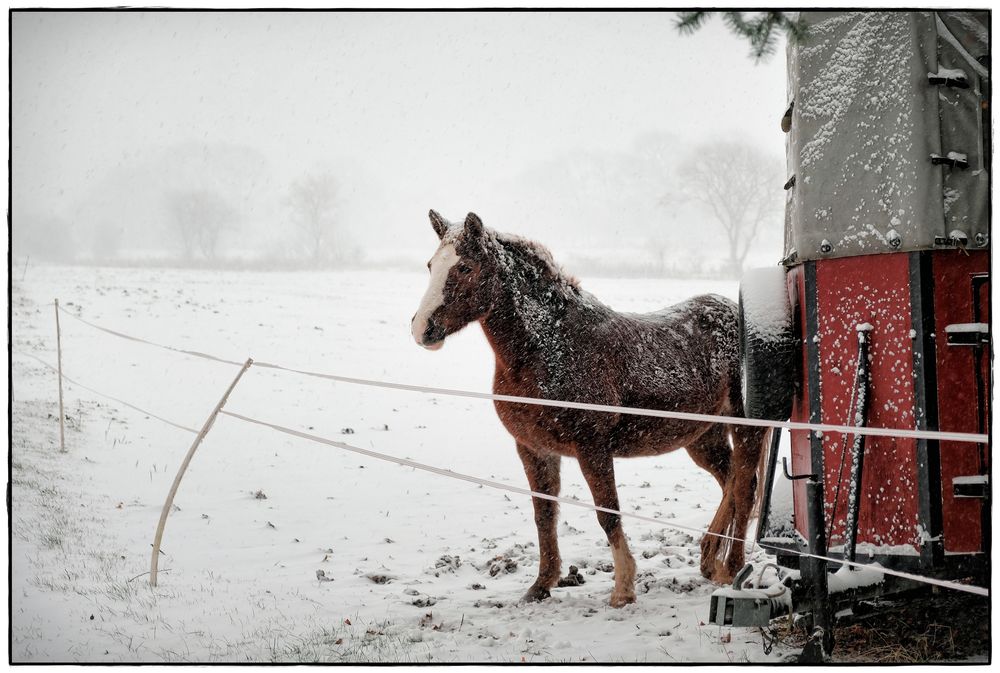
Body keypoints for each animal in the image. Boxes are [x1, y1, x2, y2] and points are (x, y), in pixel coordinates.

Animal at [410, 211, 768, 608]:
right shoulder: (533, 448)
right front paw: (541, 585)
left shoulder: (591, 448)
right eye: (431, 265)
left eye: (466, 267)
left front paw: (623, 588)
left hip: (745, 427)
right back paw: (709, 560)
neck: (551, 346)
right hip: (702, 437)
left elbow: (607, 514)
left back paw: (731, 569)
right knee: (731, 479)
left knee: (745, 488)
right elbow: (544, 515)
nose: (422, 329)